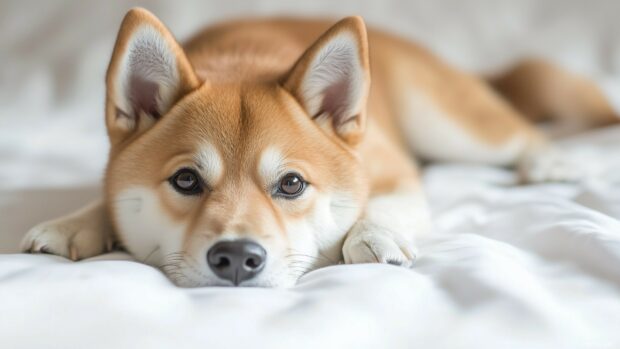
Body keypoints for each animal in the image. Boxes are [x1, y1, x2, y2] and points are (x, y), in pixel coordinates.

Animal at [21, 7, 616, 286]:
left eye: (291, 184)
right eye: (186, 180)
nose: (235, 258)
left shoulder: (395, 170)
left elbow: (382, 204)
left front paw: (373, 236)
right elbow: (102, 197)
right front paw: (74, 223)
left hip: (449, 127)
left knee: (519, 133)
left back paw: (550, 160)